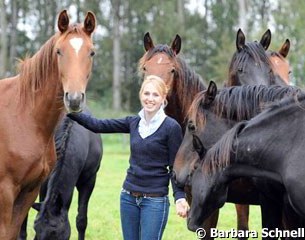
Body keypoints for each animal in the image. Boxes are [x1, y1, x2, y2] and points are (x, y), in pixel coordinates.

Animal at [0, 10, 95, 239]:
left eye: (91, 53)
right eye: (59, 51)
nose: (74, 99)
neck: (23, 115)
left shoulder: (30, 190)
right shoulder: (5, 191)